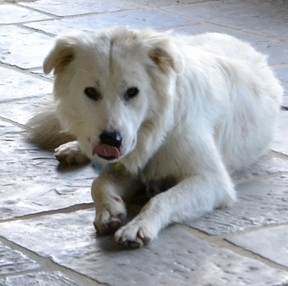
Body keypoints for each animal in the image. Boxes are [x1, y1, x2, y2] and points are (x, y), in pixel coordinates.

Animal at [28, 27, 282, 248]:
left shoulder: (211, 180)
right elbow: (98, 183)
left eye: (132, 92)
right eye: (91, 92)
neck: (156, 131)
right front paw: (110, 210)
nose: (111, 141)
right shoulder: (130, 166)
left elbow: (162, 199)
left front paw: (138, 226)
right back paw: (74, 149)